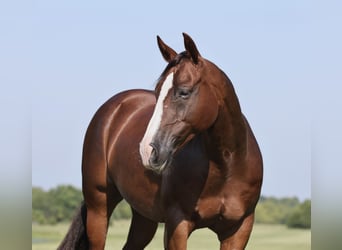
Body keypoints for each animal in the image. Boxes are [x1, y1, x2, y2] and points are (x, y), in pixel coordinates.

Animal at [58, 33, 262, 250]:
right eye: (156, 91)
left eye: (184, 92)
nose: (147, 151)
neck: (226, 166)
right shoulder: (176, 226)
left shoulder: (238, 229)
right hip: (99, 208)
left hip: (144, 217)